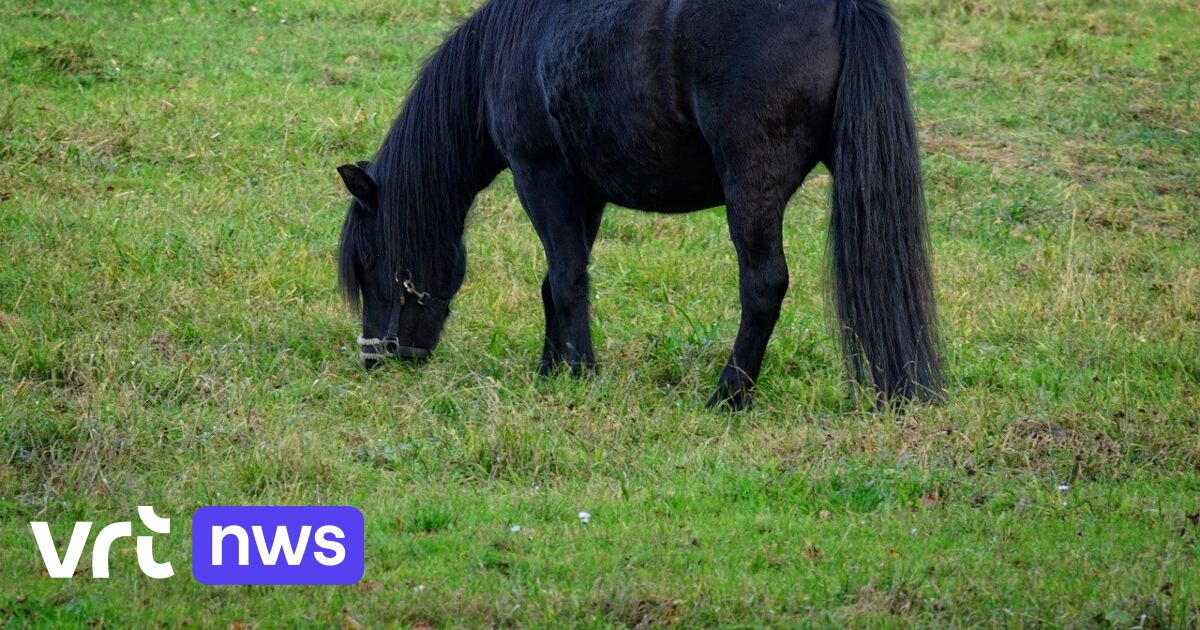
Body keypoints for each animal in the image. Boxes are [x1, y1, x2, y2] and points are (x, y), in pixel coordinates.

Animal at [335, 0, 943, 409]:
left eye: (367, 264)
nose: (375, 358)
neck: (506, 53)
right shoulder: (585, 194)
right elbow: (558, 280)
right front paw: (551, 368)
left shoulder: (542, 177)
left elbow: (567, 281)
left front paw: (579, 373)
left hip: (752, 187)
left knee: (764, 285)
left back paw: (728, 396)